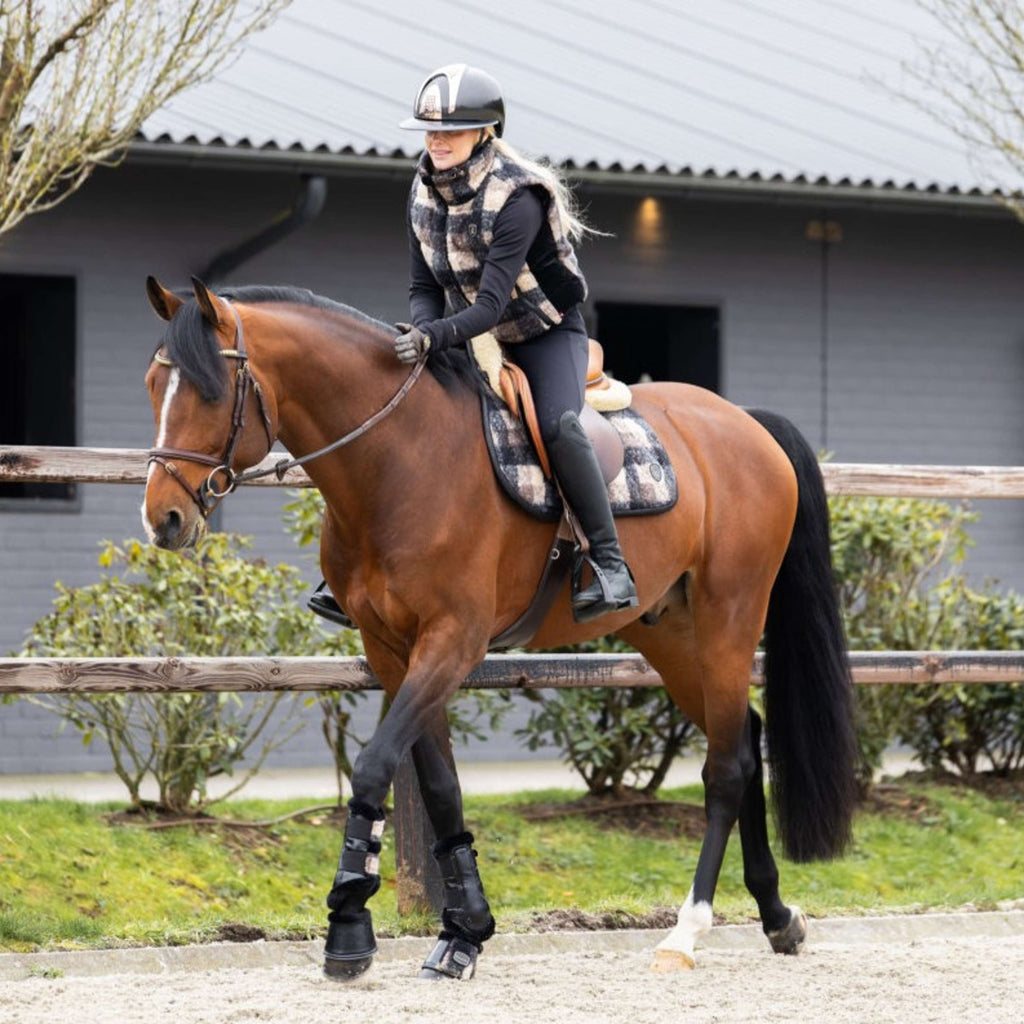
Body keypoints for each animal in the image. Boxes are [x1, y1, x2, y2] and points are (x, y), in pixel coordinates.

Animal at [141, 276, 858, 980]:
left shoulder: (453, 641)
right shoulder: (393, 649)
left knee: (726, 769)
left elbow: (375, 767)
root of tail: (746, 422)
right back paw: (776, 916)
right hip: (671, 634)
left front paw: (349, 923)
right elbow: (440, 787)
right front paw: (464, 931)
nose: (164, 519)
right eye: (153, 385)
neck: (402, 457)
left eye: (210, 391)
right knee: (742, 741)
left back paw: (686, 931)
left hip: (729, 617)